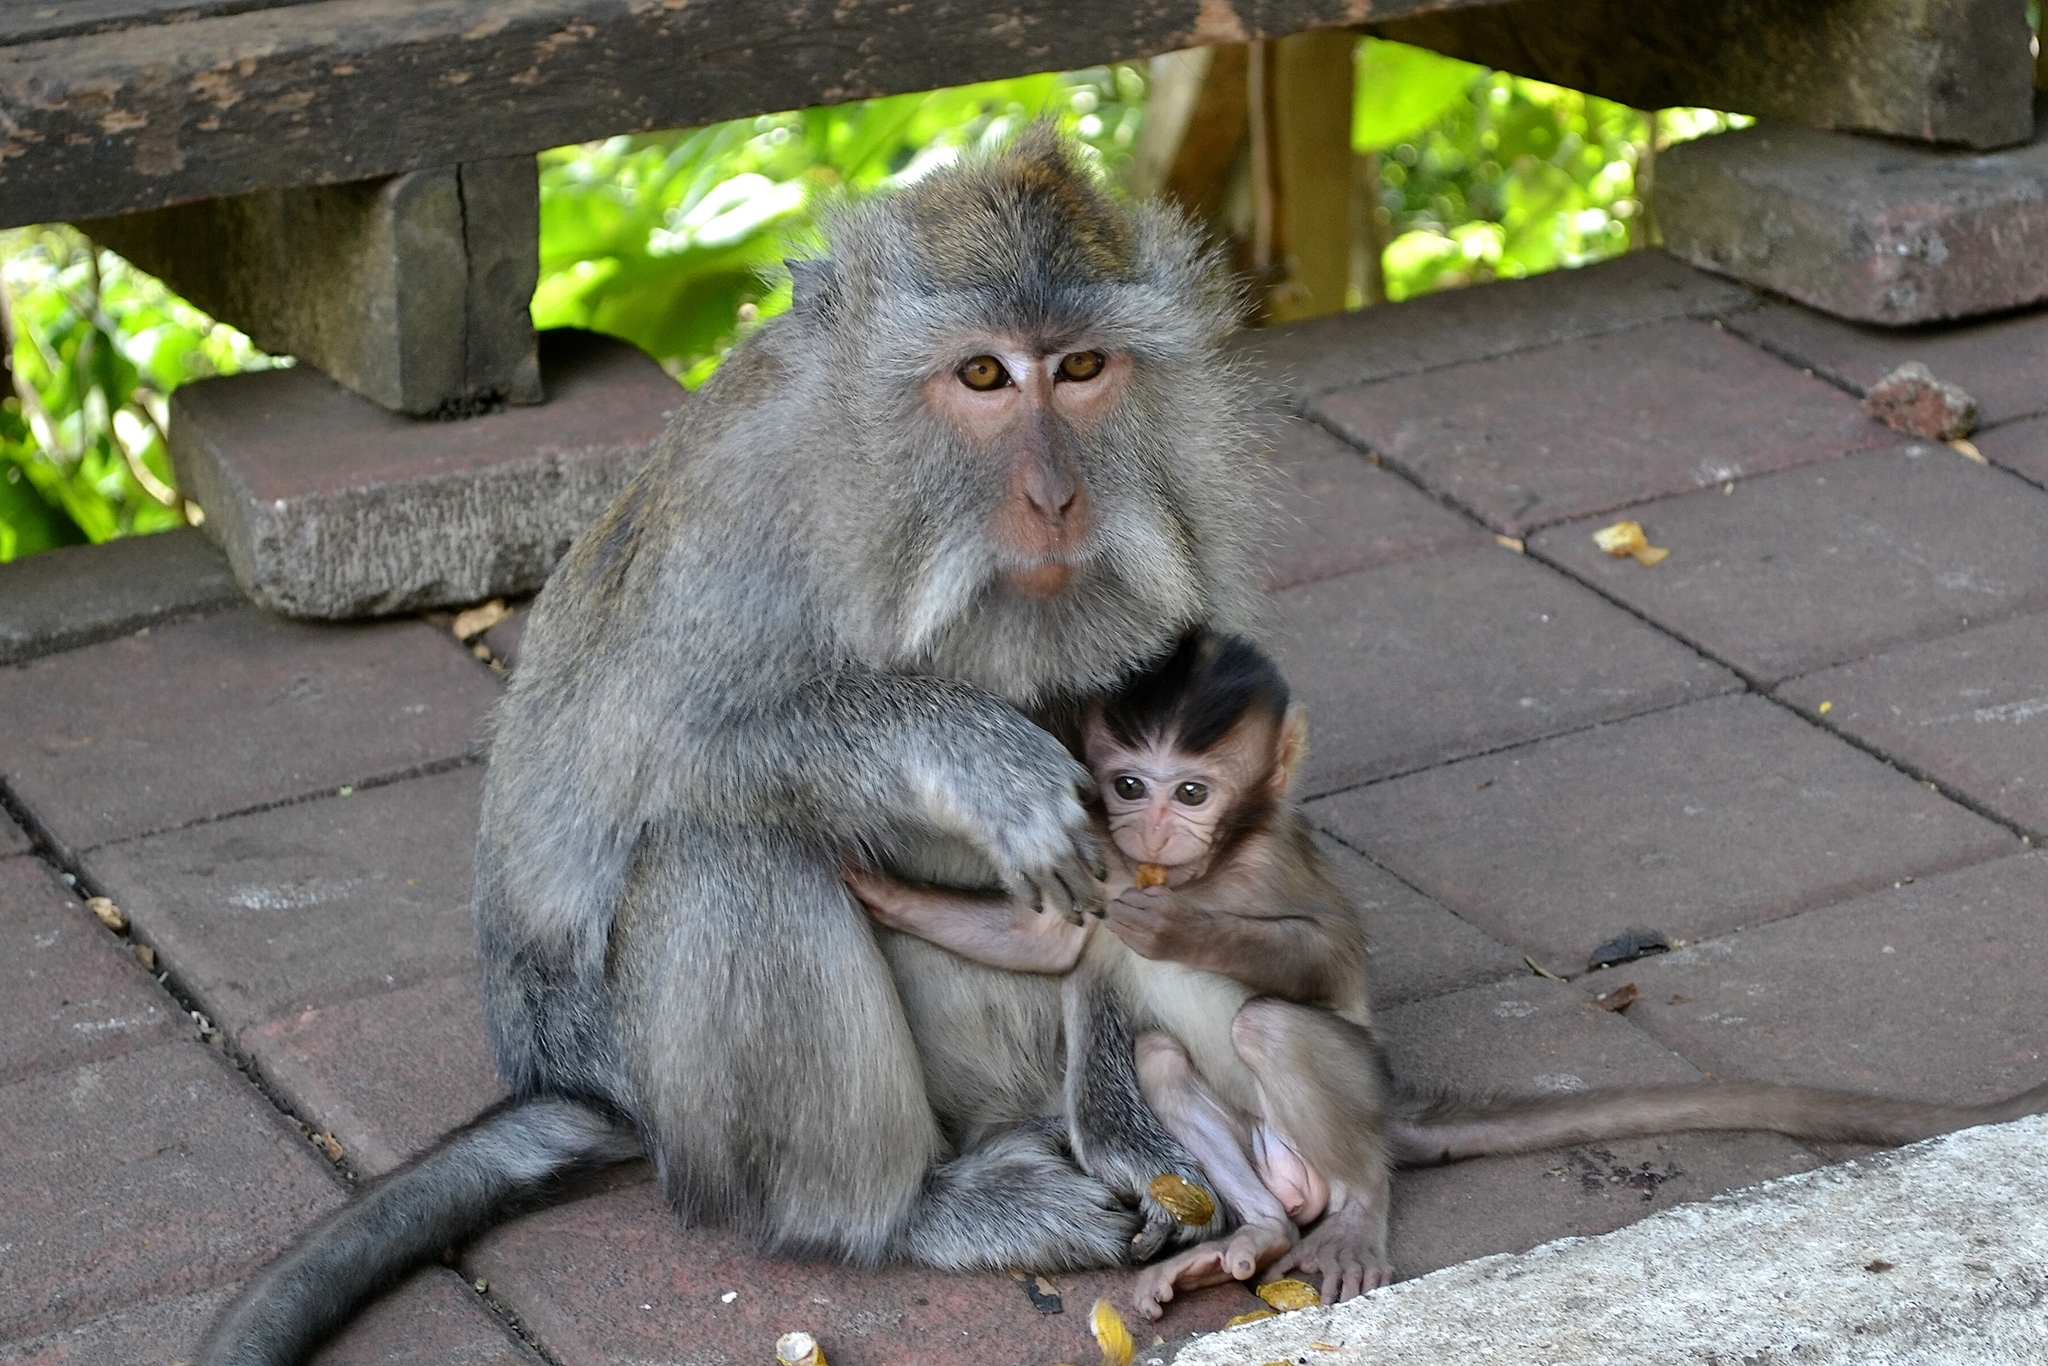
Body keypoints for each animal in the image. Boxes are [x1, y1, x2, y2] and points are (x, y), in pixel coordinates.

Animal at [203, 131, 1327, 1366]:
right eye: (983, 376)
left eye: (1080, 368)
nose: (1055, 496)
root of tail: (584, 1085)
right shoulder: (744, 504)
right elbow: (664, 754)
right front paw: (977, 756)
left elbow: (1146, 856)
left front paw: (1129, 1130)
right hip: (682, 1095)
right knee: (725, 849)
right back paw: (899, 1211)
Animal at [839, 630, 1384, 1310]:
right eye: (1128, 786)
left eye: (1192, 794)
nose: (1151, 834)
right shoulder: (1101, 858)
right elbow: (1043, 944)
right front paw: (878, 890)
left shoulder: (1271, 861)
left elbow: (1333, 957)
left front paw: (1176, 927)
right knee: (1157, 1057)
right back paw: (1255, 1235)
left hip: (1360, 1088)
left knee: (1270, 1029)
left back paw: (1359, 1213)